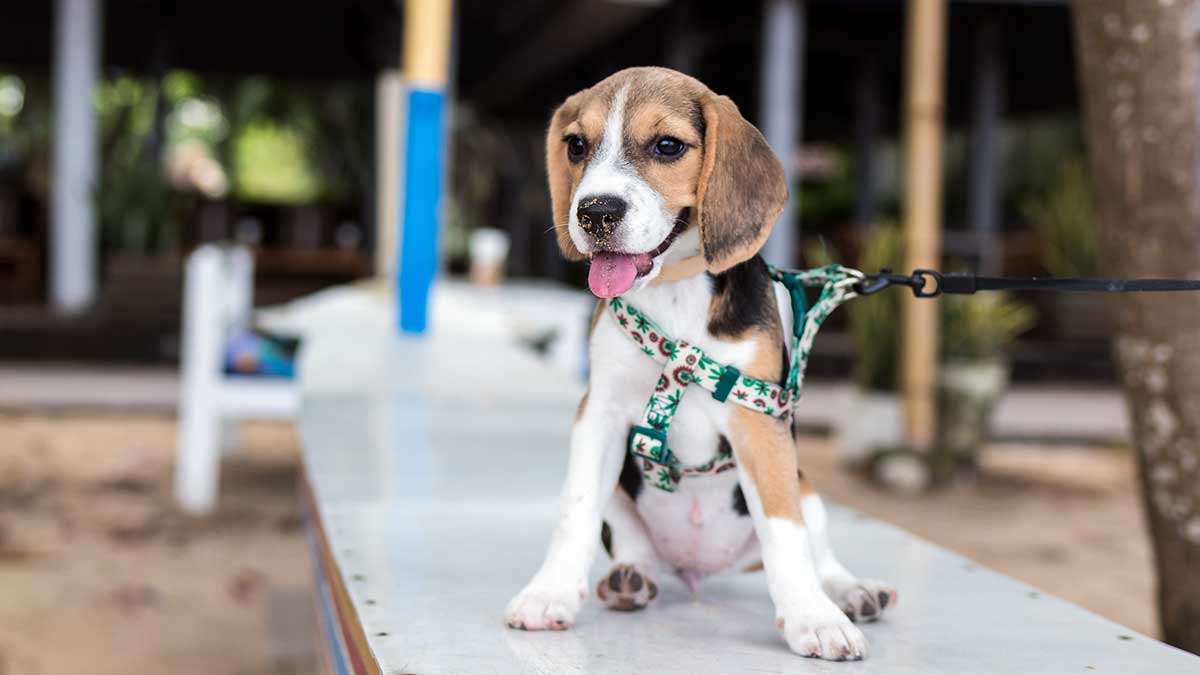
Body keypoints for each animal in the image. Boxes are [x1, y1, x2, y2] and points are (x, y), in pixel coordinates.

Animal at [501, 66, 897, 658]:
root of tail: (697, 571)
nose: (595, 213)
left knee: (818, 550)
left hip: (808, 488)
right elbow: (575, 509)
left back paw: (851, 592)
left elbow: (785, 533)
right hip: (623, 497)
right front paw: (548, 594)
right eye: (576, 146)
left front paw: (814, 619)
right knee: (634, 546)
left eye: (667, 146)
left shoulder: (759, 423)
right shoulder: (600, 413)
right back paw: (630, 579)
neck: (674, 289)